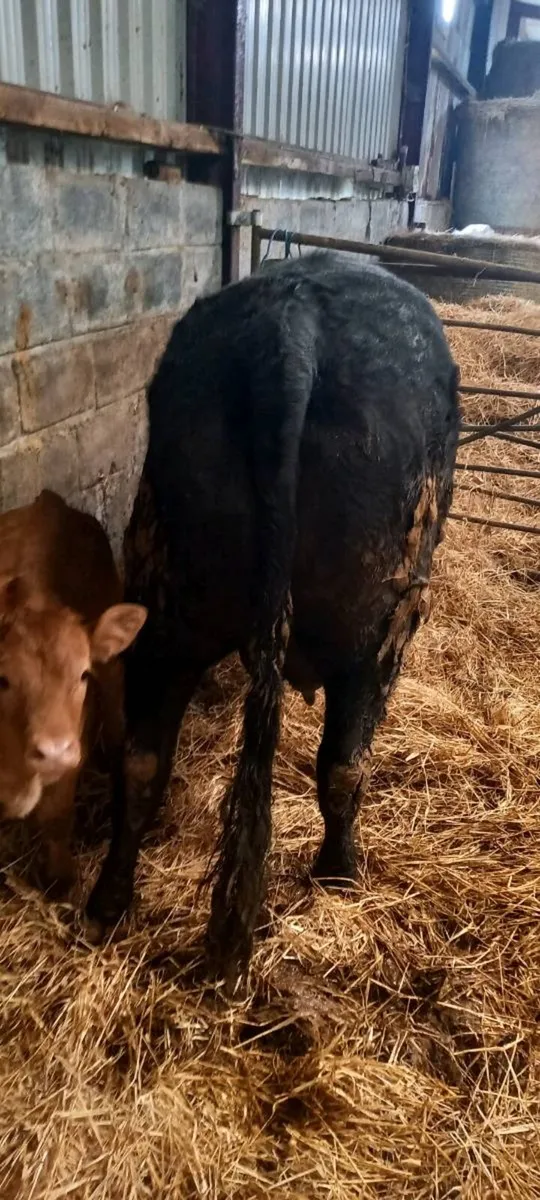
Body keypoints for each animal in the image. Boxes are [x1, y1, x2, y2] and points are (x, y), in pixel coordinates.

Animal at [0, 490, 147, 895]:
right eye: (2, 679)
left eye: (82, 674)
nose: (54, 751)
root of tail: (48, 501)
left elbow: (57, 816)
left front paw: (60, 879)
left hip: (112, 668)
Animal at [85, 253, 460, 979]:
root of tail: (292, 321)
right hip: (374, 634)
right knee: (343, 766)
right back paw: (340, 874)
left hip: (169, 610)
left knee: (142, 759)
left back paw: (108, 902)